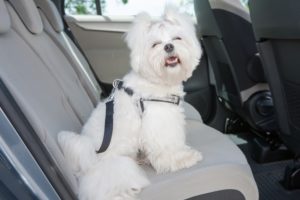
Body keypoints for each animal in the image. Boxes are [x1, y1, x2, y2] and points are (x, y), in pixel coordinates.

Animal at [58, 6, 203, 200]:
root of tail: (86, 161)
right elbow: (168, 146)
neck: (156, 80)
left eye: (177, 38)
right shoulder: (160, 122)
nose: (169, 46)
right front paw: (184, 158)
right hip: (117, 166)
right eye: (155, 44)